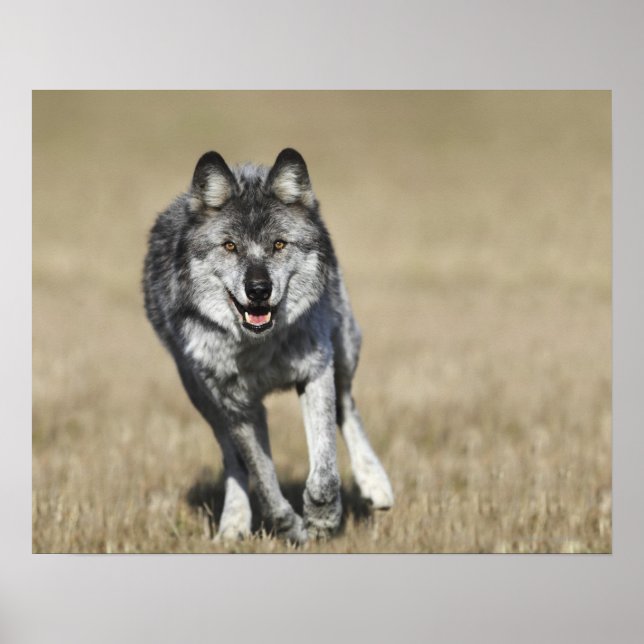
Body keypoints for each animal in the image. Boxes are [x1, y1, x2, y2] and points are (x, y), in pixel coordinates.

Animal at [143, 148, 393, 543]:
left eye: (279, 244)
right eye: (230, 246)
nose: (258, 290)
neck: (258, 348)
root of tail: (249, 168)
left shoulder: (315, 373)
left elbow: (324, 472)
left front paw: (322, 521)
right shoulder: (236, 406)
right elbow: (263, 482)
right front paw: (291, 527)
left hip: (344, 351)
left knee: (347, 406)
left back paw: (376, 484)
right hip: (205, 400)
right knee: (233, 460)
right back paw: (233, 523)